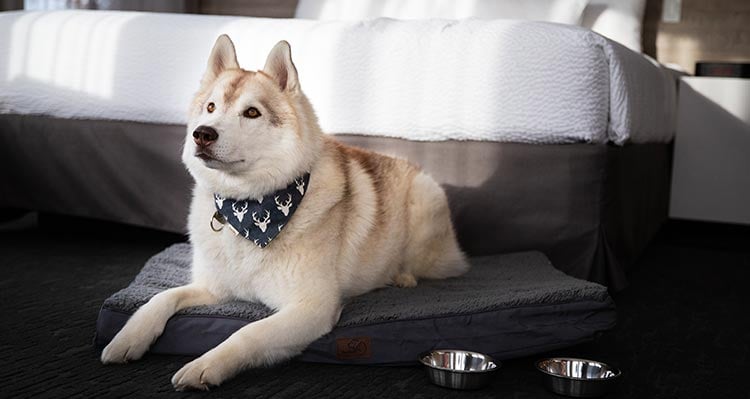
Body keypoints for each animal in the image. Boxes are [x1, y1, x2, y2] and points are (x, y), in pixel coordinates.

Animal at [100, 34, 470, 390]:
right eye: (210, 107)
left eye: (252, 113)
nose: (201, 134)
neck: (247, 208)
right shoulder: (213, 289)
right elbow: (160, 298)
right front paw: (128, 337)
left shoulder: (311, 308)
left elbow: (246, 333)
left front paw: (206, 366)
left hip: (425, 203)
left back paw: (402, 276)